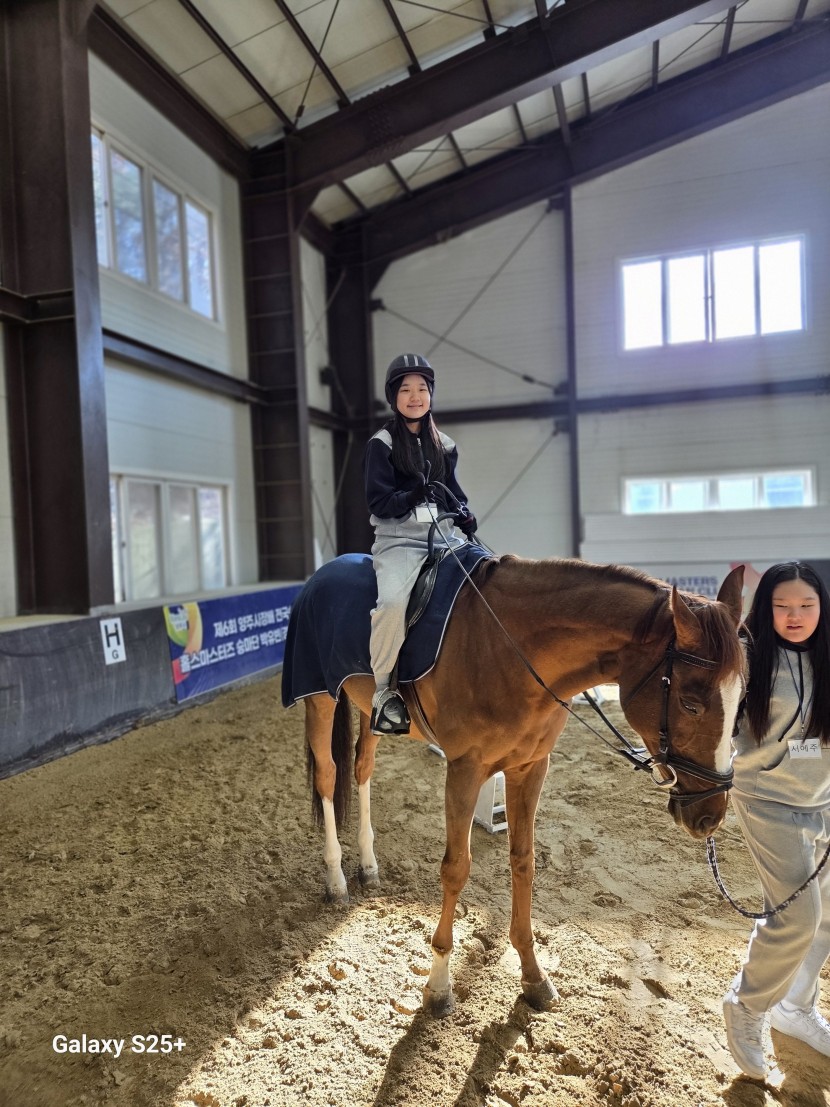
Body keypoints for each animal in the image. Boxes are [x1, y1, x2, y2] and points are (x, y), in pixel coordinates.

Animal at [296, 555, 745, 1018]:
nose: (710, 815)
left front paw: (533, 976)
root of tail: (328, 569)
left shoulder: (530, 768)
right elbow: (456, 868)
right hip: (319, 698)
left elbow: (523, 862)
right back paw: (336, 879)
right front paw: (439, 986)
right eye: (691, 704)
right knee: (328, 775)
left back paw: (368, 866)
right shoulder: (465, 769)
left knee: (362, 767)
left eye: (741, 698)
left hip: (369, 708)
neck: (514, 651)